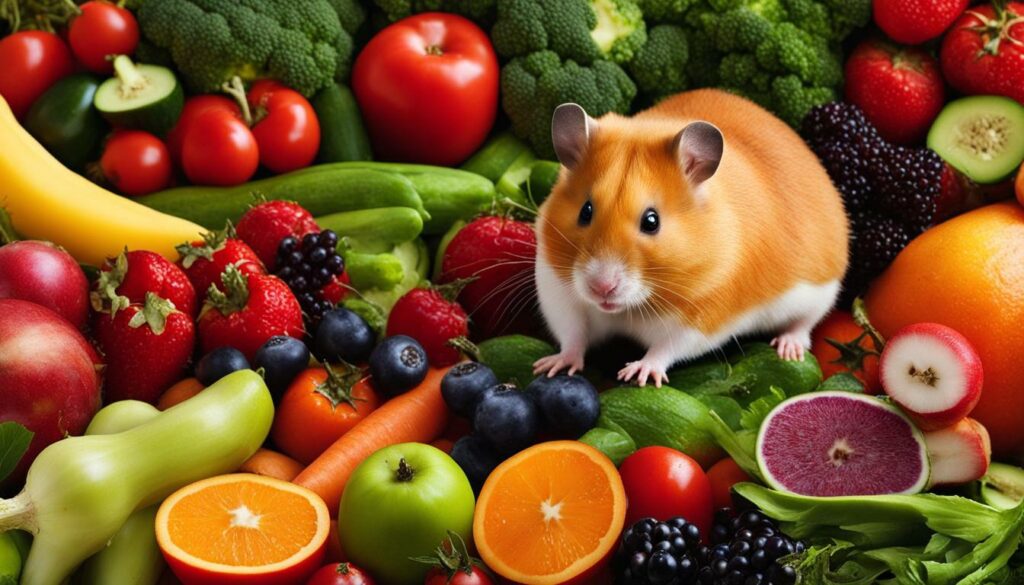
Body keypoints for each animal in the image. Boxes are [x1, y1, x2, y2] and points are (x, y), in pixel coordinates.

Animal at [532, 89, 849, 387]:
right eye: (585, 212)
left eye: (651, 221)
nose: (602, 288)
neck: (630, 307)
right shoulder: (557, 292)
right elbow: (573, 334)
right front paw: (551, 366)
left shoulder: (702, 320)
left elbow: (666, 348)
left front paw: (638, 373)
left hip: (821, 292)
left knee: (804, 325)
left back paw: (788, 348)